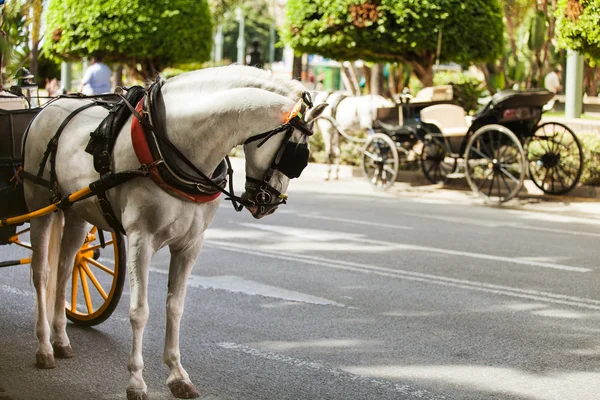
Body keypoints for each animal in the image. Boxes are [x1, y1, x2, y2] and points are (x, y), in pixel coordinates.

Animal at [23, 66, 326, 400]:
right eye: (297, 153)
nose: (269, 202)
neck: (170, 145)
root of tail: (49, 106)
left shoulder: (189, 245)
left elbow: (175, 307)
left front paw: (177, 374)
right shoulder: (140, 240)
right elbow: (139, 311)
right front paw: (136, 381)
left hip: (77, 214)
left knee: (65, 271)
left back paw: (60, 339)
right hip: (40, 206)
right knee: (42, 273)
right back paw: (43, 346)